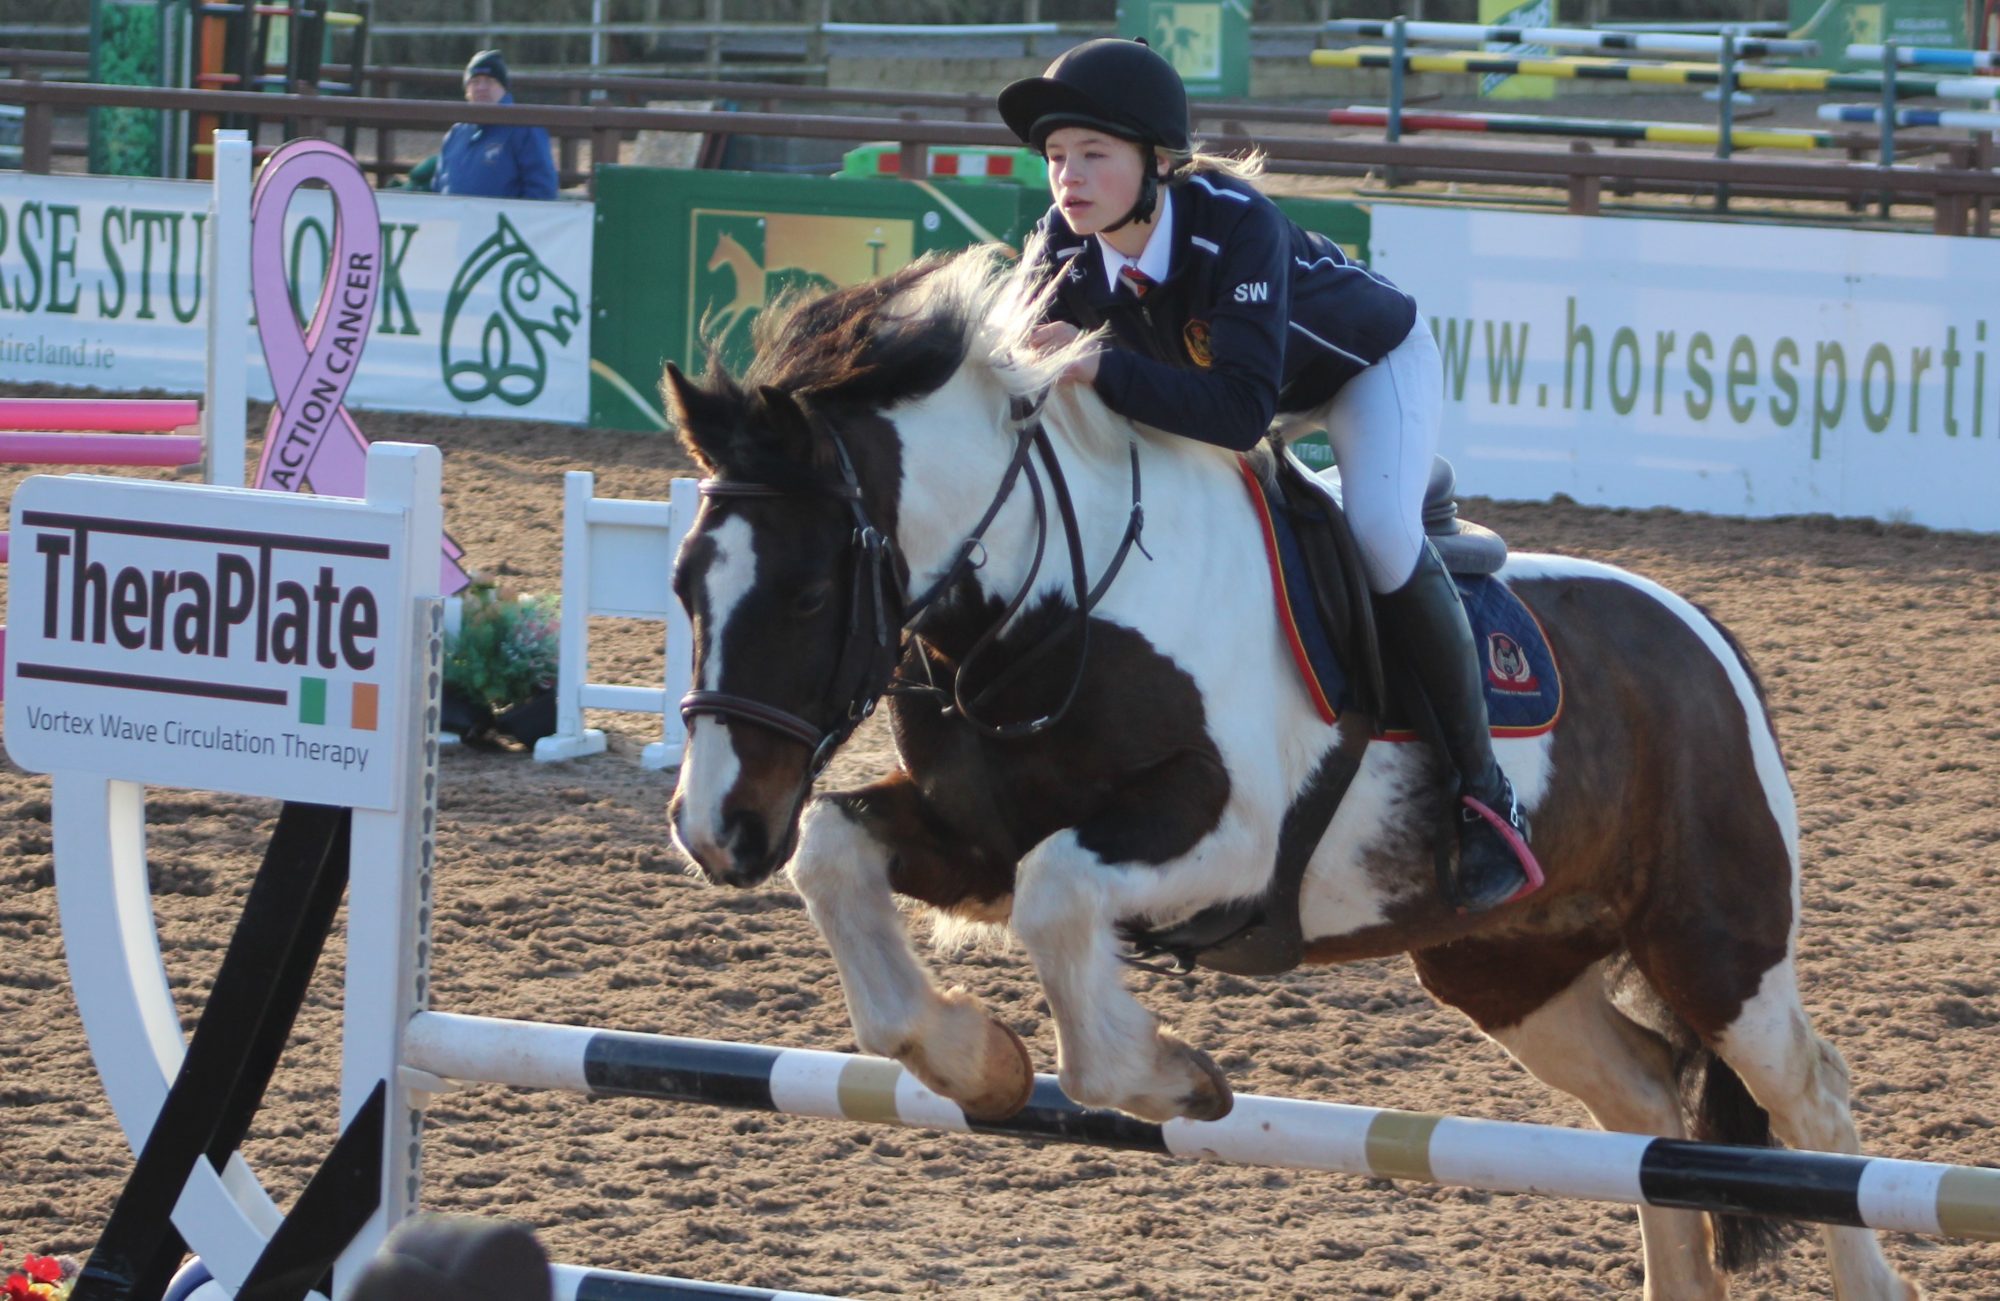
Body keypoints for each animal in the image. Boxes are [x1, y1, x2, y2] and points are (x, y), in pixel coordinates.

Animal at [659, 245, 1920, 1301]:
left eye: (807, 595)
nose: (718, 828)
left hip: (1713, 940)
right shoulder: (972, 835)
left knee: (1808, 1093)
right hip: (1507, 964)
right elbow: (838, 858)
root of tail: (1702, 640)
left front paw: (1171, 1079)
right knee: (1647, 1100)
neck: (1054, 598)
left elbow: (1056, 900)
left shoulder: (1224, 843)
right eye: (682, 585)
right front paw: (980, 1065)